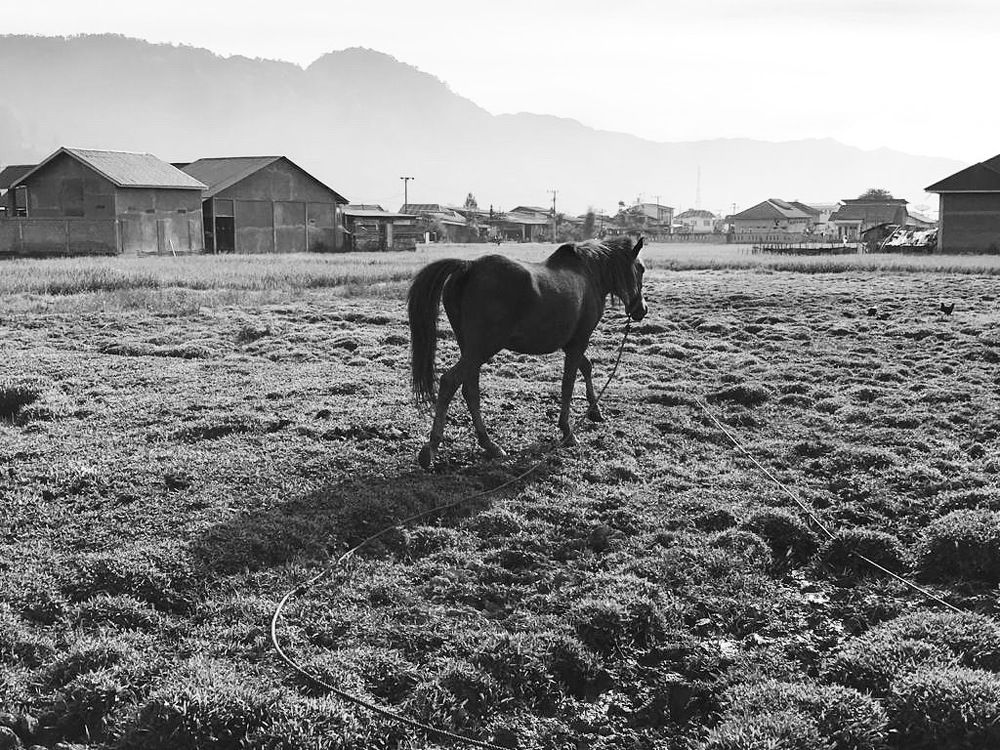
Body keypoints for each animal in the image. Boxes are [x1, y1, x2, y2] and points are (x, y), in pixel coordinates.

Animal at [407, 235, 647, 469]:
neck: (589, 275)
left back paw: (489, 444)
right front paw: (568, 431)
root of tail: (469, 267)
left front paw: (595, 411)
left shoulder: (570, 343)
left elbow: (586, 367)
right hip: (482, 348)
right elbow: (568, 384)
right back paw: (432, 447)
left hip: (470, 349)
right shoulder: (579, 341)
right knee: (450, 382)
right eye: (641, 269)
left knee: (470, 389)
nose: (642, 310)